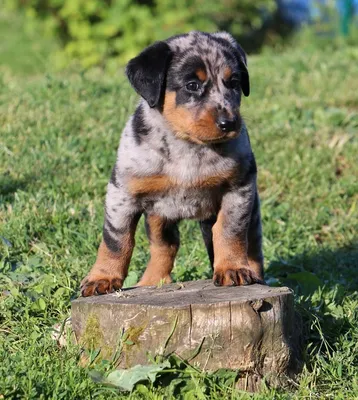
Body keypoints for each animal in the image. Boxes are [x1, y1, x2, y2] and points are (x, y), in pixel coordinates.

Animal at [82, 31, 266, 296]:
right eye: (192, 85)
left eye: (233, 82)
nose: (229, 123)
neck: (186, 146)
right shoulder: (122, 193)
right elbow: (116, 240)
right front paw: (102, 278)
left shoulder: (239, 188)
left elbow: (229, 231)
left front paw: (232, 268)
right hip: (158, 215)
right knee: (164, 246)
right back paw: (151, 281)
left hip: (252, 210)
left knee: (252, 245)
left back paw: (255, 275)